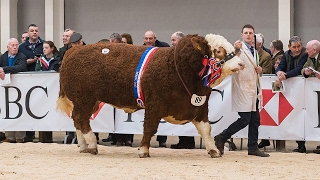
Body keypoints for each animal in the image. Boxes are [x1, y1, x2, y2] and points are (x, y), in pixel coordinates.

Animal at [57, 33, 244, 158]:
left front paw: (213, 150)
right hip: (84, 98)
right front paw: (143, 150)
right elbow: (150, 127)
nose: (241, 63)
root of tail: (72, 52)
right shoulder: (155, 104)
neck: (178, 67)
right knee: (81, 119)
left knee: (77, 119)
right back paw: (92, 145)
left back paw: (83, 146)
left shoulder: (200, 106)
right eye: (218, 51)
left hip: (89, 101)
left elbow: (206, 129)